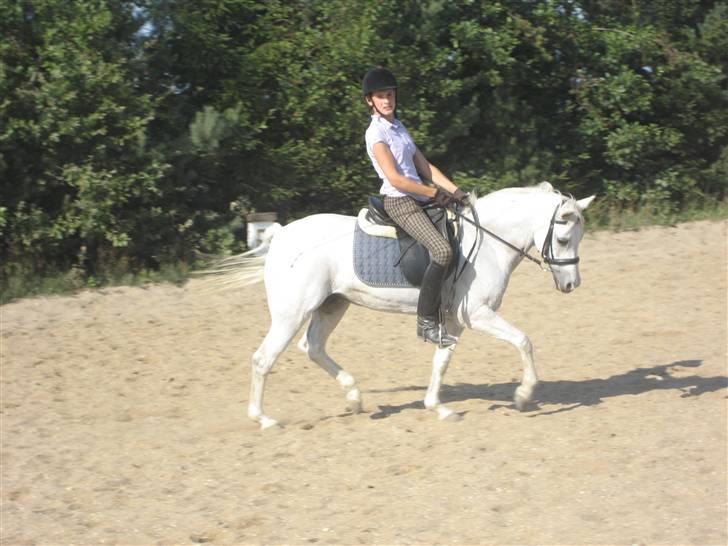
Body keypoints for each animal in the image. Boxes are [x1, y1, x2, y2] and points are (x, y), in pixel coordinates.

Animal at [216, 181, 592, 428]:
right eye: (562, 239)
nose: (572, 285)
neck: (487, 244)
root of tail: (281, 234)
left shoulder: (453, 322)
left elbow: (442, 362)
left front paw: (437, 407)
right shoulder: (478, 314)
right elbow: (523, 341)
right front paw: (524, 395)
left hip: (332, 305)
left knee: (314, 347)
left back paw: (354, 398)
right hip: (291, 313)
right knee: (263, 359)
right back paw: (264, 419)